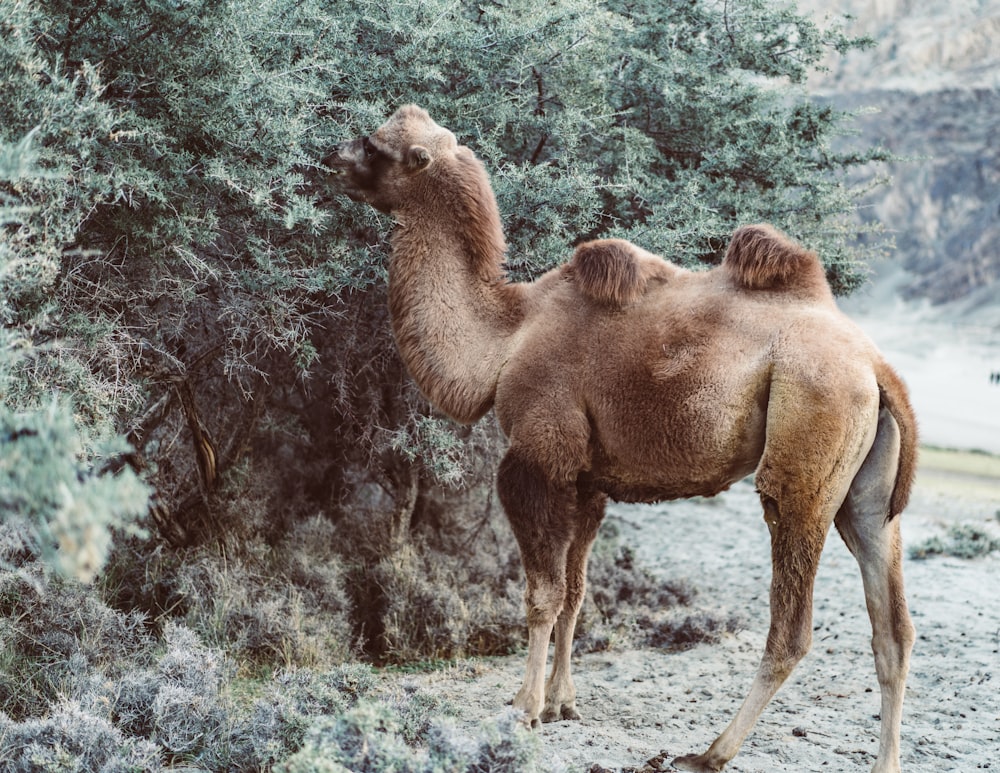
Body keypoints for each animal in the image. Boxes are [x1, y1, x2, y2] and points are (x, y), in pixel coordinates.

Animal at [324, 104, 916, 772]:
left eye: (376, 145)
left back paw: (709, 752)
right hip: (866, 492)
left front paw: (525, 708)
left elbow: (543, 593)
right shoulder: (587, 478)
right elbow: (577, 592)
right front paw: (563, 703)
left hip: (806, 444)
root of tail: (874, 364)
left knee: (791, 623)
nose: (330, 159)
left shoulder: (538, 459)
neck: (504, 341)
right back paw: (883, 759)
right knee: (892, 625)